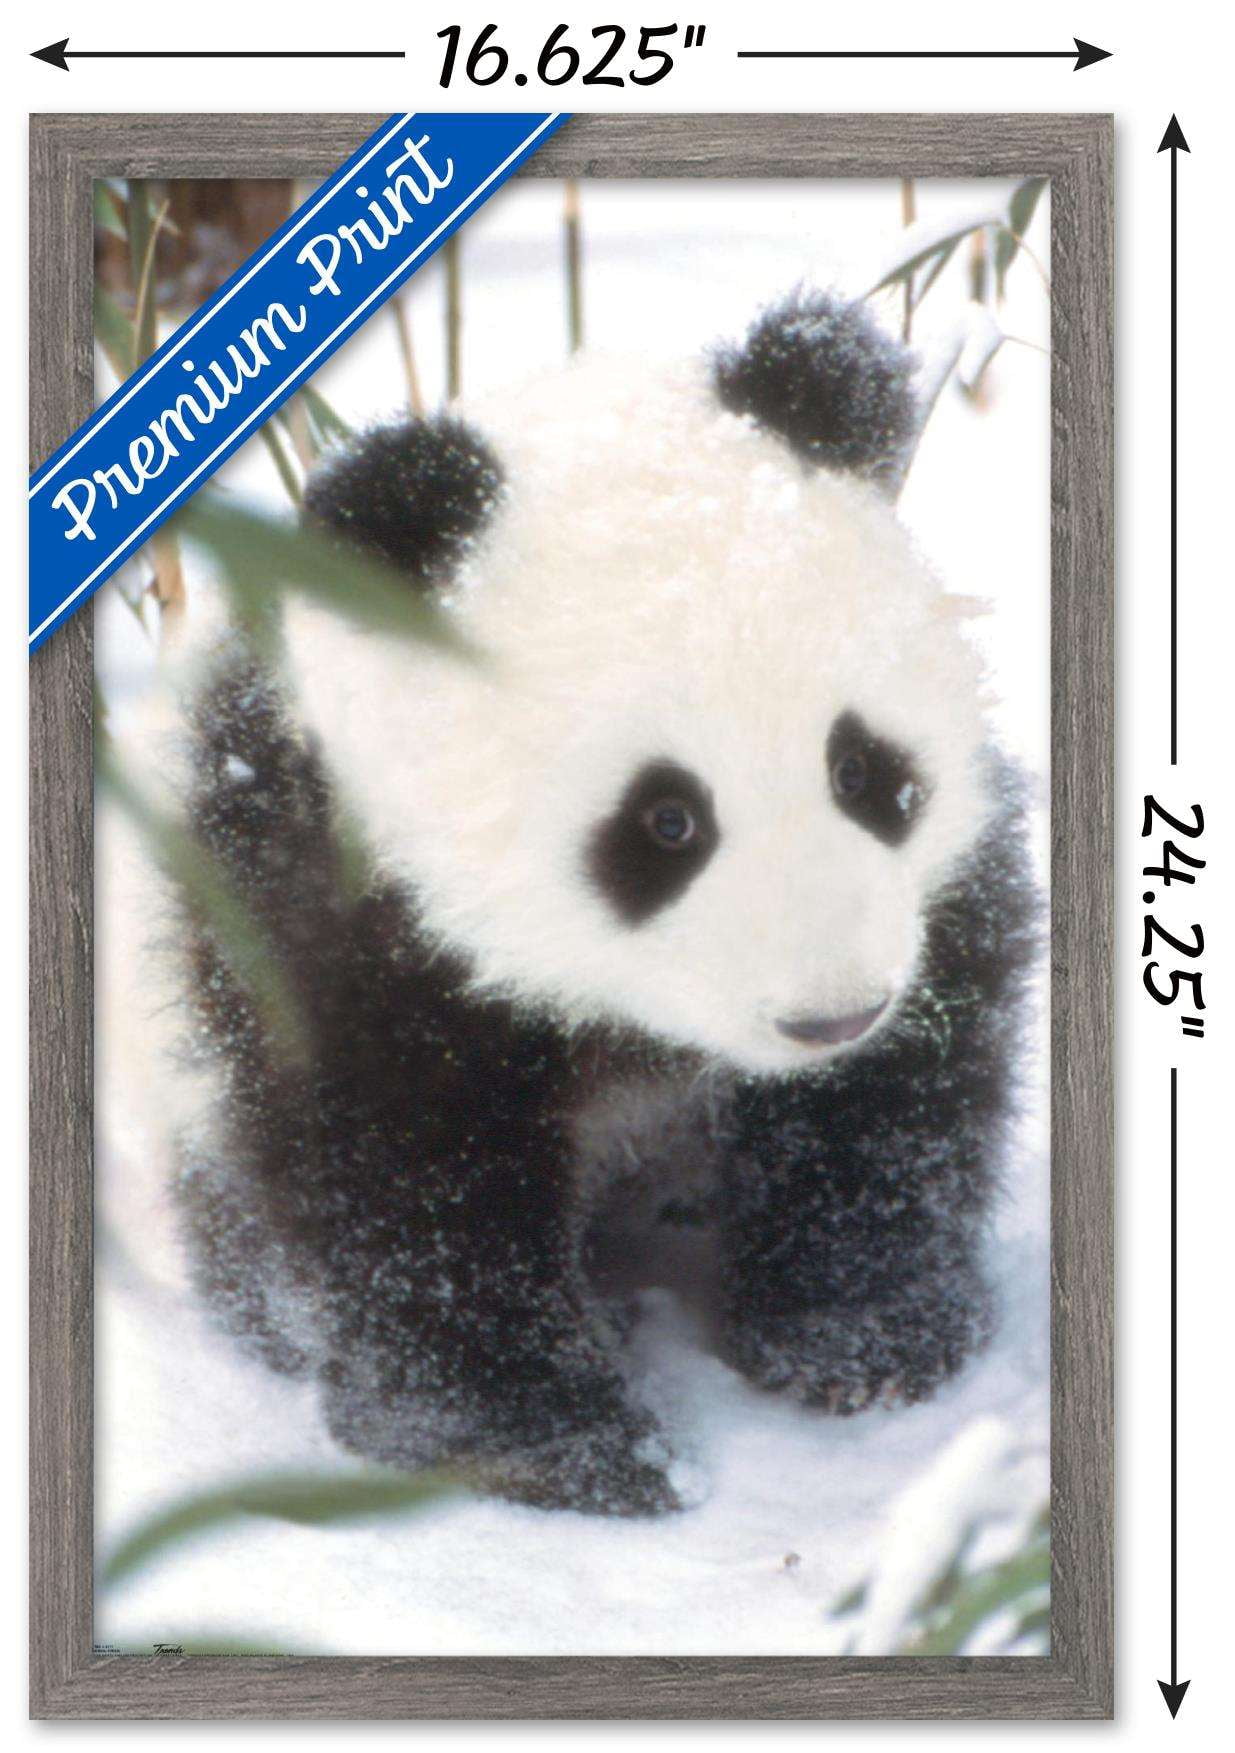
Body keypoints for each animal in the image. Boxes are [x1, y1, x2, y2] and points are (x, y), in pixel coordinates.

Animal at [177, 289, 1038, 1517]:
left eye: (863, 770)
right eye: (664, 820)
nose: (830, 1016)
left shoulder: (931, 901)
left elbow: (900, 1096)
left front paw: (863, 1337)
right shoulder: (323, 902)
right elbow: (401, 1187)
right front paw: (556, 1444)